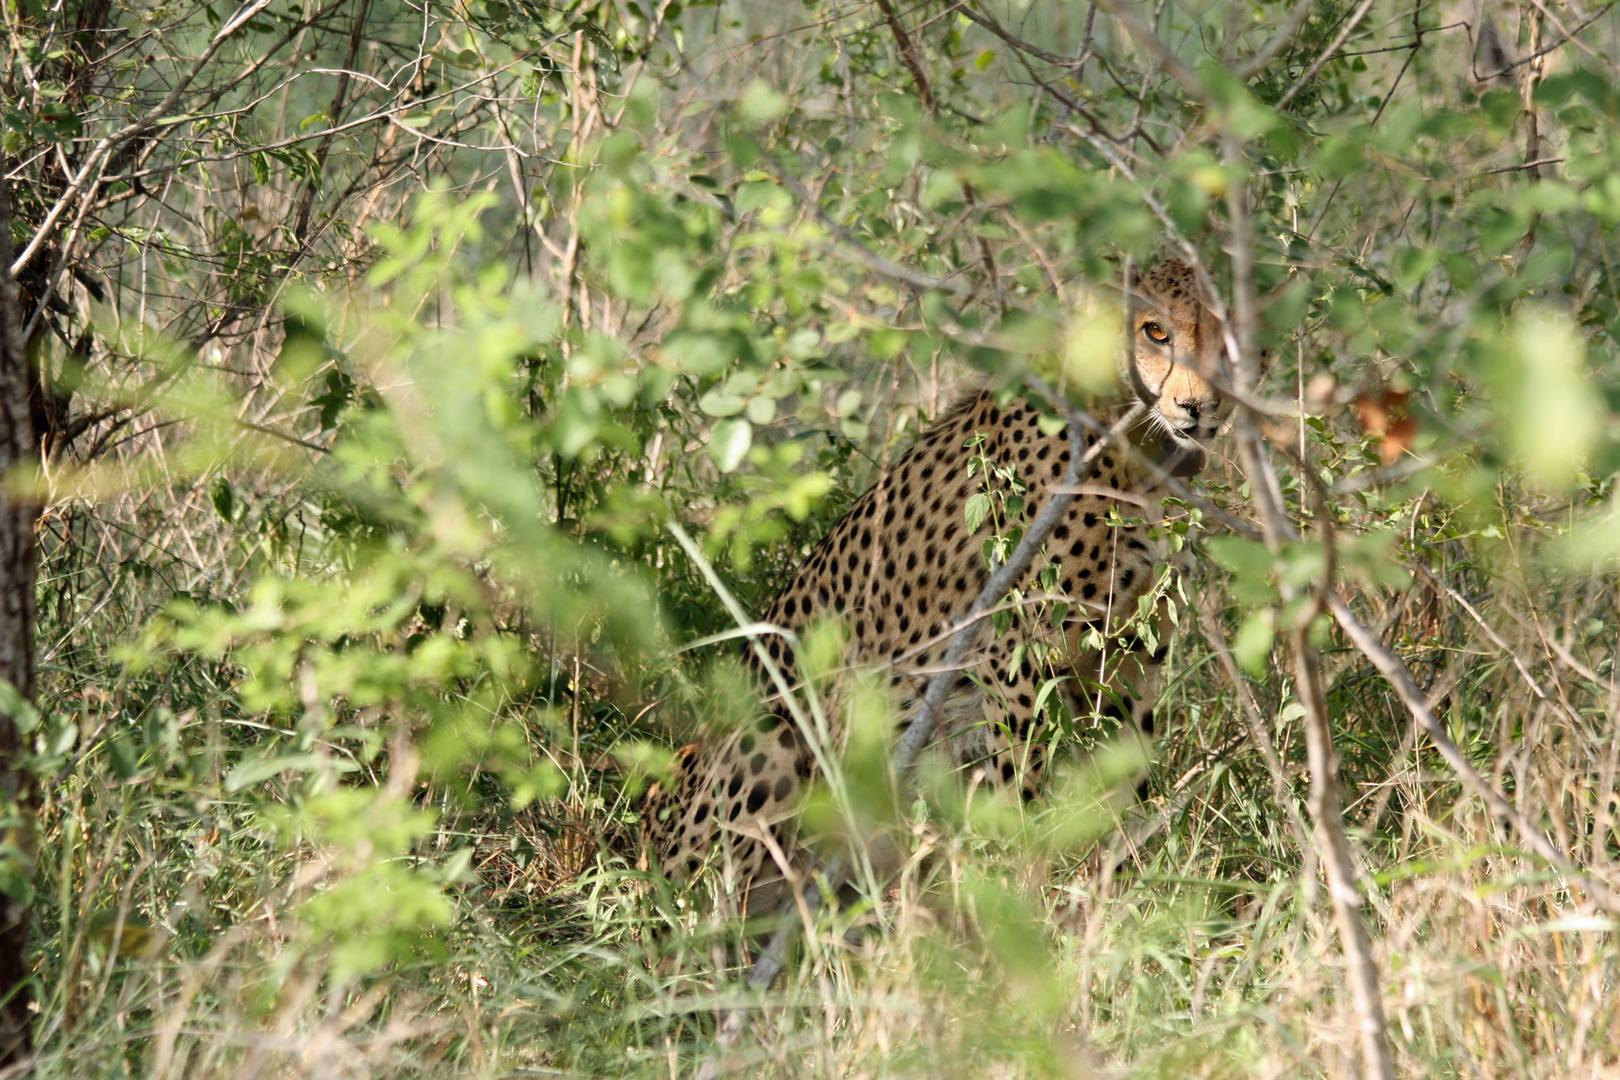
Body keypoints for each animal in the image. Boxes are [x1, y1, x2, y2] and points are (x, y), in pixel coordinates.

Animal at [641, 257, 1224, 919]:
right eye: (1154, 330)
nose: (1196, 406)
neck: (1136, 443)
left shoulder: (1131, 647)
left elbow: (1125, 779)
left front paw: (1126, 896)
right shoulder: (1016, 654)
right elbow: (1020, 789)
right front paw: (1020, 904)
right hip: (773, 737)